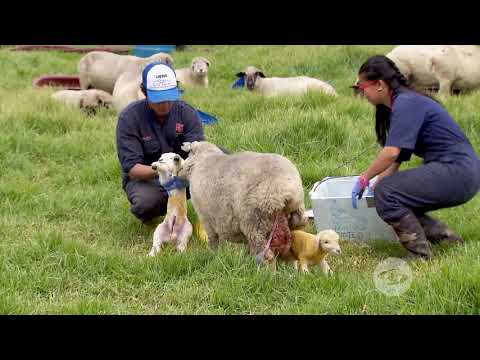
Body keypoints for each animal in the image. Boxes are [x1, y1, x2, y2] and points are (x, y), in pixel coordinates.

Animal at [177, 141, 308, 268]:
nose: (178, 173)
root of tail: (289, 191)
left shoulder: (207, 218)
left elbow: (214, 240)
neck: (204, 159)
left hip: (256, 223)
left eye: (187, 155)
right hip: (294, 220)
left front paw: (213, 255)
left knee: (266, 255)